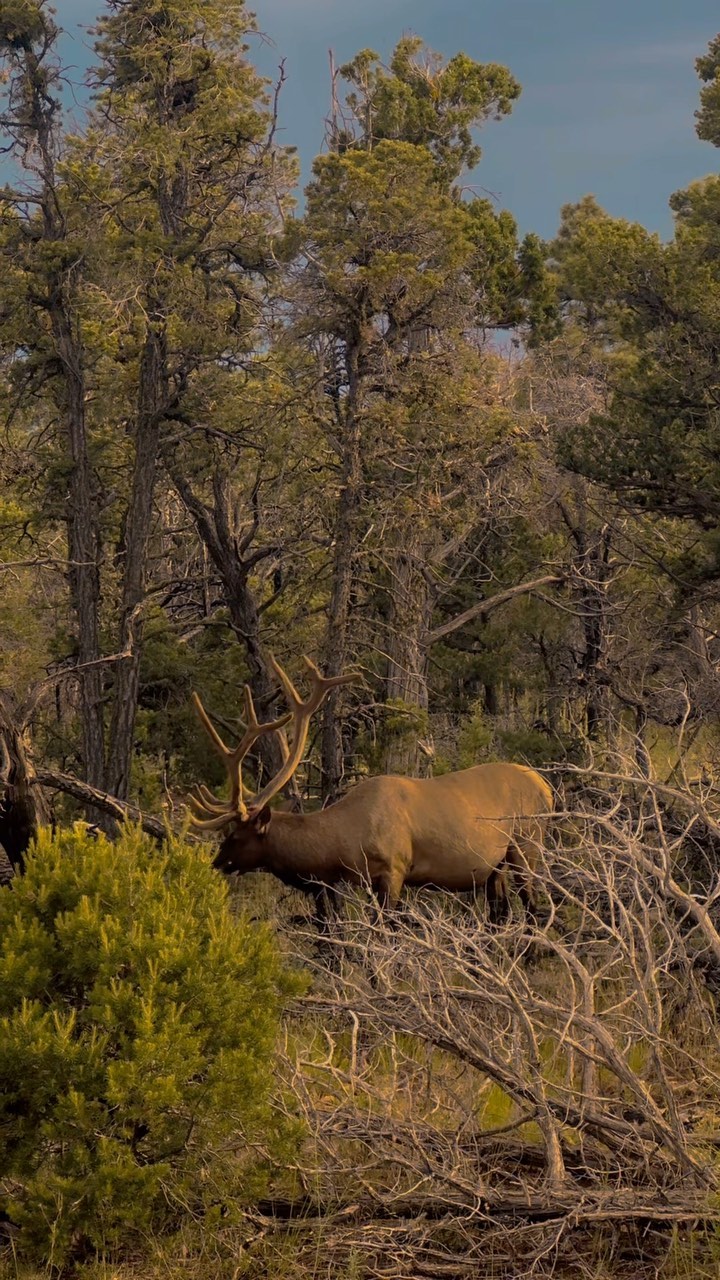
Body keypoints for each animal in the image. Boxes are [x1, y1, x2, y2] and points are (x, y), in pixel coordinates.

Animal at [184, 655, 548, 916]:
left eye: (235, 836)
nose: (214, 864)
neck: (344, 841)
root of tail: (546, 786)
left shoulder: (394, 870)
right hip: (494, 867)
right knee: (501, 914)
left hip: (526, 844)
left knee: (532, 908)